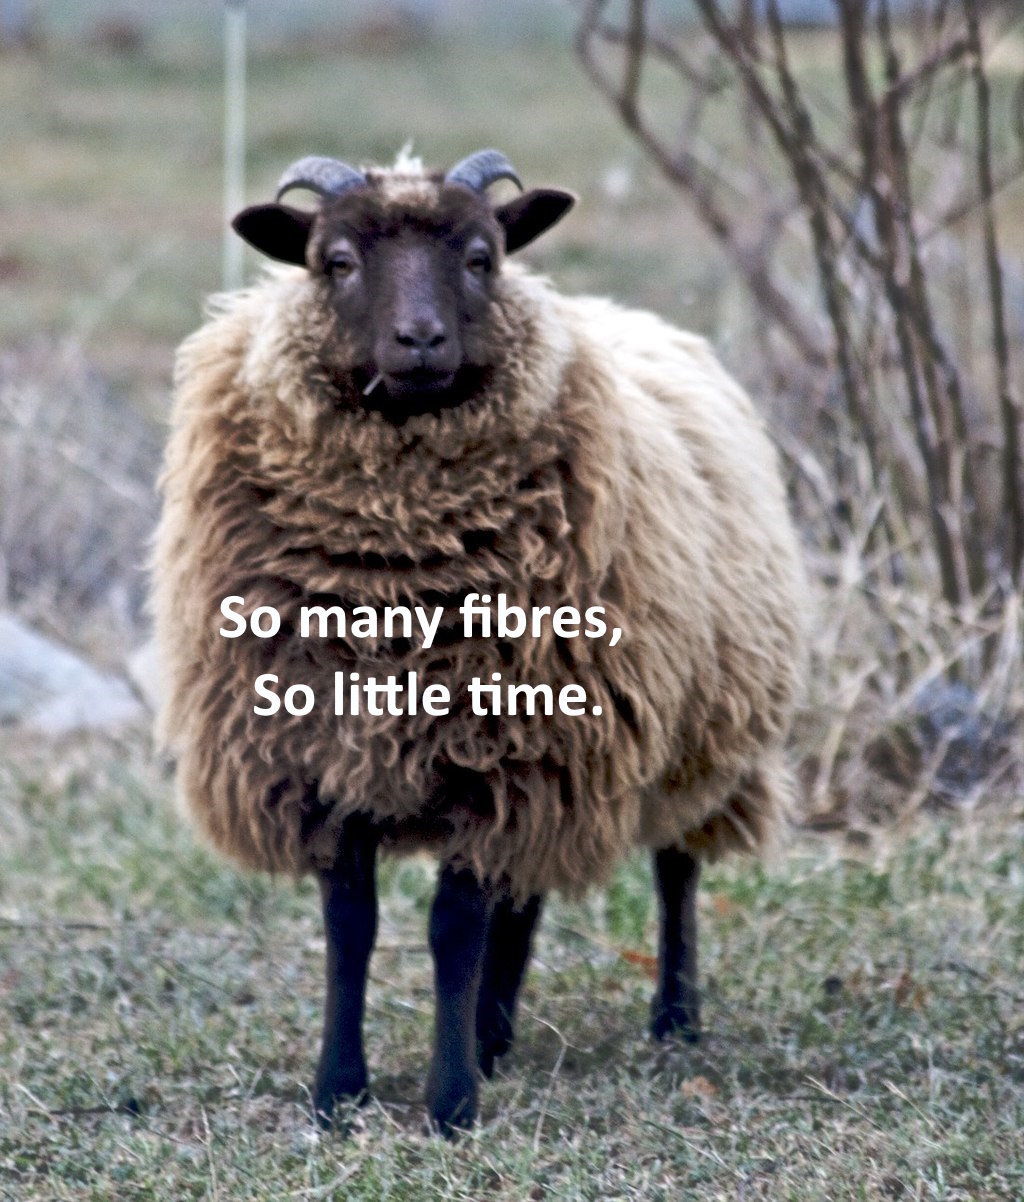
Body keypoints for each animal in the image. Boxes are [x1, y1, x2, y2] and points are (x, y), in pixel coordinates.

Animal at [152, 150, 807, 1134]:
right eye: (334, 260)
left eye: (481, 257)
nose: (420, 341)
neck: (392, 573)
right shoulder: (331, 753)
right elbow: (353, 927)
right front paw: (339, 1091)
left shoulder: (500, 752)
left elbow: (451, 929)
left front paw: (450, 1102)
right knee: (523, 895)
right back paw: (496, 1031)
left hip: (697, 723)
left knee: (676, 868)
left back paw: (674, 1018)